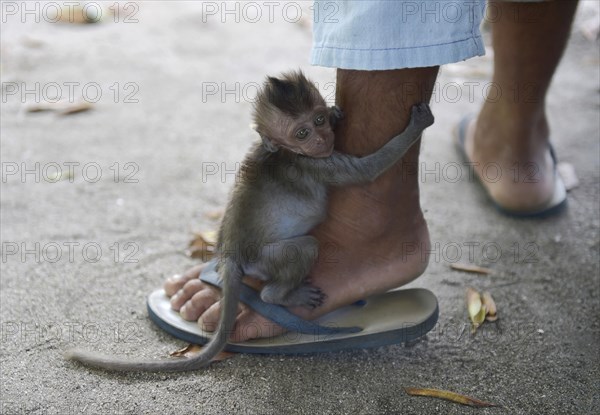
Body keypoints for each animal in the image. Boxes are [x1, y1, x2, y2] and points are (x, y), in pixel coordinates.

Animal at [65, 70, 434, 374]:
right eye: (301, 133)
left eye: (317, 120)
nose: (320, 137)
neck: (284, 151)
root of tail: (229, 255)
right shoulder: (316, 164)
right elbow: (369, 170)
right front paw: (416, 127)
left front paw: (335, 111)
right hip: (265, 260)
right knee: (302, 249)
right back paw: (280, 296)